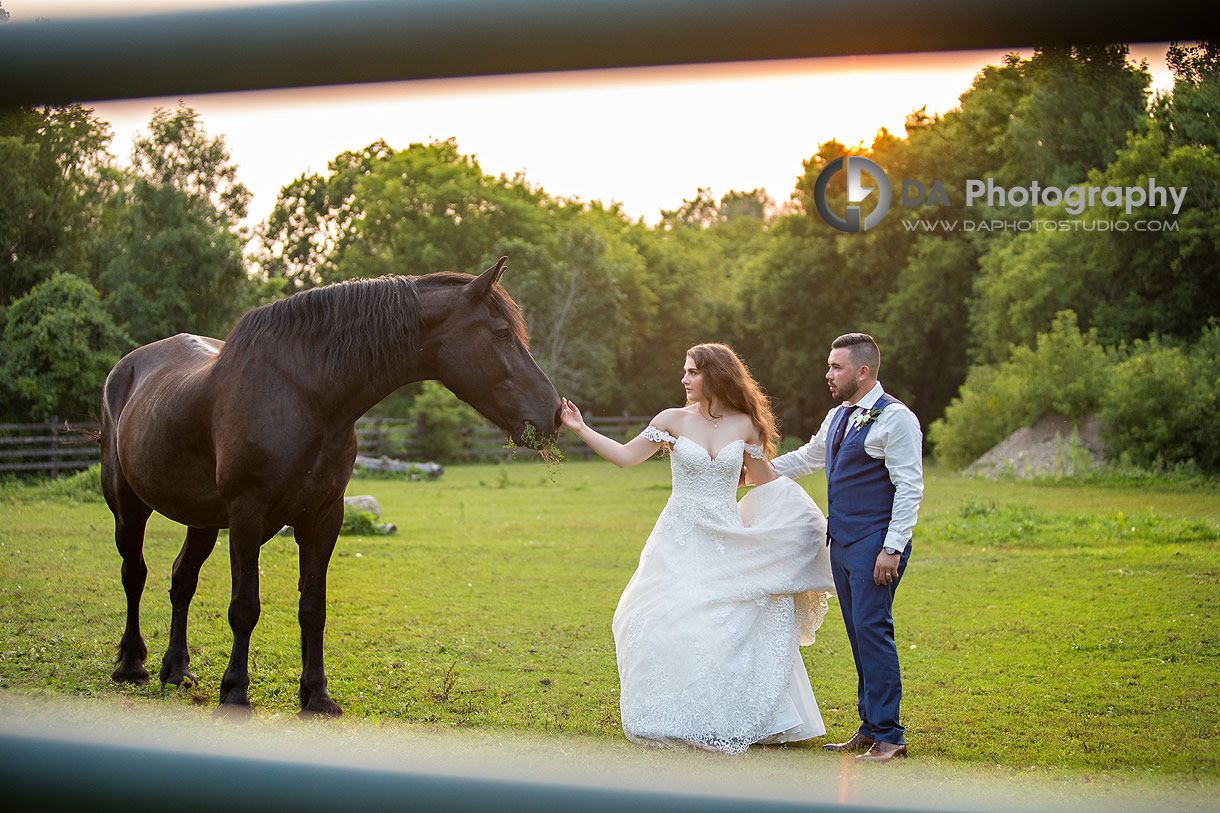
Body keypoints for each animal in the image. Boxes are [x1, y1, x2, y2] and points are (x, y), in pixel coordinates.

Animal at [99, 257, 561, 716]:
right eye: (501, 334)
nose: (555, 413)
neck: (304, 394)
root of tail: (127, 367)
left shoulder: (324, 517)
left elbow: (313, 608)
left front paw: (316, 695)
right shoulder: (247, 515)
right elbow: (244, 607)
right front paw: (235, 692)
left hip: (203, 522)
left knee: (182, 580)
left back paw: (176, 670)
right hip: (129, 507)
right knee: (134, 575)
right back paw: (132, 665)